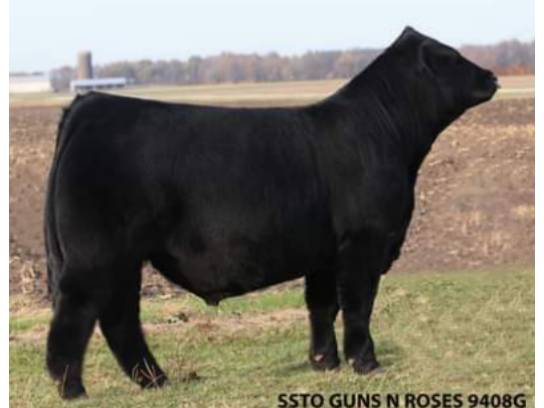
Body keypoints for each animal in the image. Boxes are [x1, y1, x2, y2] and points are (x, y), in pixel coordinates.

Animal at [44, 26, 498, 399]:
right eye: (452, 57)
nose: (493, 76)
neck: (385, 134)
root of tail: (93, 103)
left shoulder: (324, 252)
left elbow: (321, 305)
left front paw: (324, 362)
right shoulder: (364, 241)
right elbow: (357, 303)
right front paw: (365, 363)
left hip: (122, 259)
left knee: (118, 316)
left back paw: (154, 379)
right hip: (96, 254)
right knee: (78, 313)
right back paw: (73, 388)